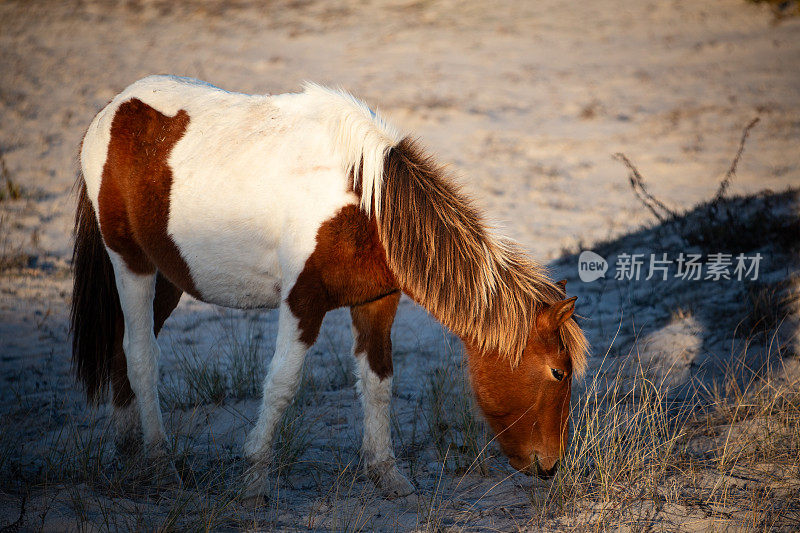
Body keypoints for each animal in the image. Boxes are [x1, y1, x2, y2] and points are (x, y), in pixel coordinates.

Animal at [70, 77, 588, 500]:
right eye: (558, 373)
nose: (550, 466)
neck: (366, 205)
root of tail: (111, 110)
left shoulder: (377, 302)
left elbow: (379, 383)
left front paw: (387, 475)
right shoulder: (302, 302)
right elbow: (282, 383)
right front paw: (254, 478)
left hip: (169, 276)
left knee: (121, 351)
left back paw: (129, 451)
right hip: (131, 262)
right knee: (141, 355)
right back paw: (159, 464)